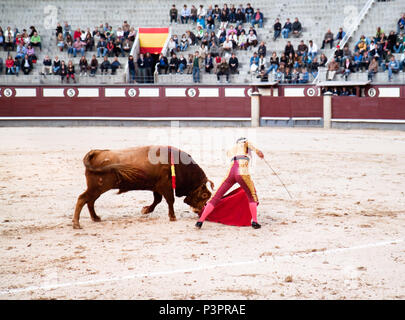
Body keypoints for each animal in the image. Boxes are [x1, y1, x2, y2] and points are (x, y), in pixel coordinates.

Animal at [72, 146, 215, 229]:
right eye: (204, 195)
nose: (200, 210)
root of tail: (95, 153)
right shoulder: (166, 186)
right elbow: (170, 200)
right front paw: (173, 217)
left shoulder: (156, 187)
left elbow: (157, 200)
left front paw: (145, 210)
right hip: (97, 188)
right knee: (83, 199)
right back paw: (76, 224)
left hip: (96, 189)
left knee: (90, 201)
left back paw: (95, 218)